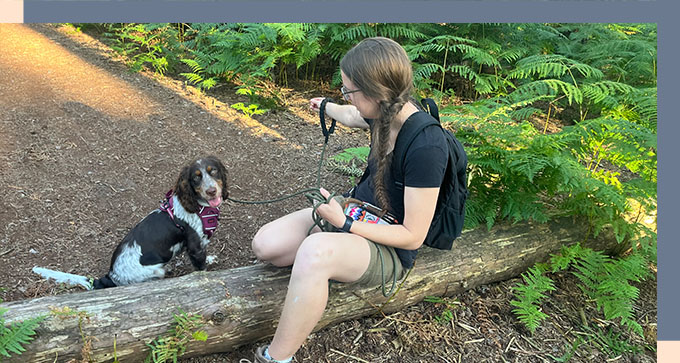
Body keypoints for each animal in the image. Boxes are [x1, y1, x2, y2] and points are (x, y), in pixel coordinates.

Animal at [90, 156, 230, 290]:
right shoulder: (195, 247)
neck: (199, 207)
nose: (211, 191)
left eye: (213, 171)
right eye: (196, 177)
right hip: (154, 272)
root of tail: (111, 276)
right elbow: (201, 268)